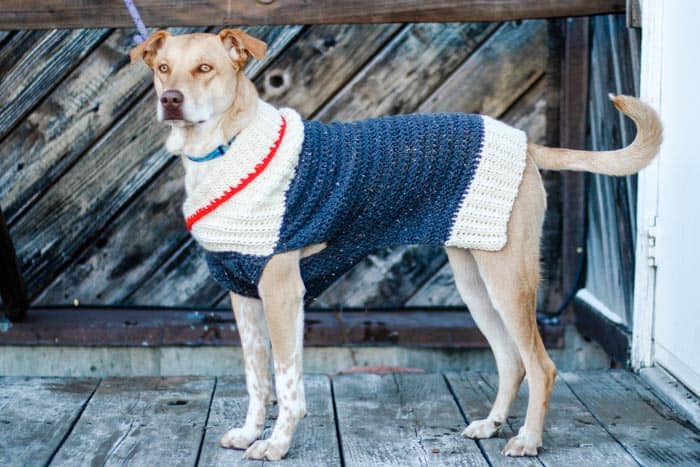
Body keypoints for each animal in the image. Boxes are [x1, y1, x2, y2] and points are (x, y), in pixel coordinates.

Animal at [130, 28, 660, 460]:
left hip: (509, 278)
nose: (170, 99)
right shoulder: (243, 294)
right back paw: (491, 424)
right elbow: (258, 377)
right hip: (474, 281)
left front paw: (276, 444)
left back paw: (527, 439)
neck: (227, 146)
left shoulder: (281, 292)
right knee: (511, 361)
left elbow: (287, 379)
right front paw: (249, 433)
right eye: (162, 68)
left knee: (541, 365)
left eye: (205, 68)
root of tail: (525, 144)